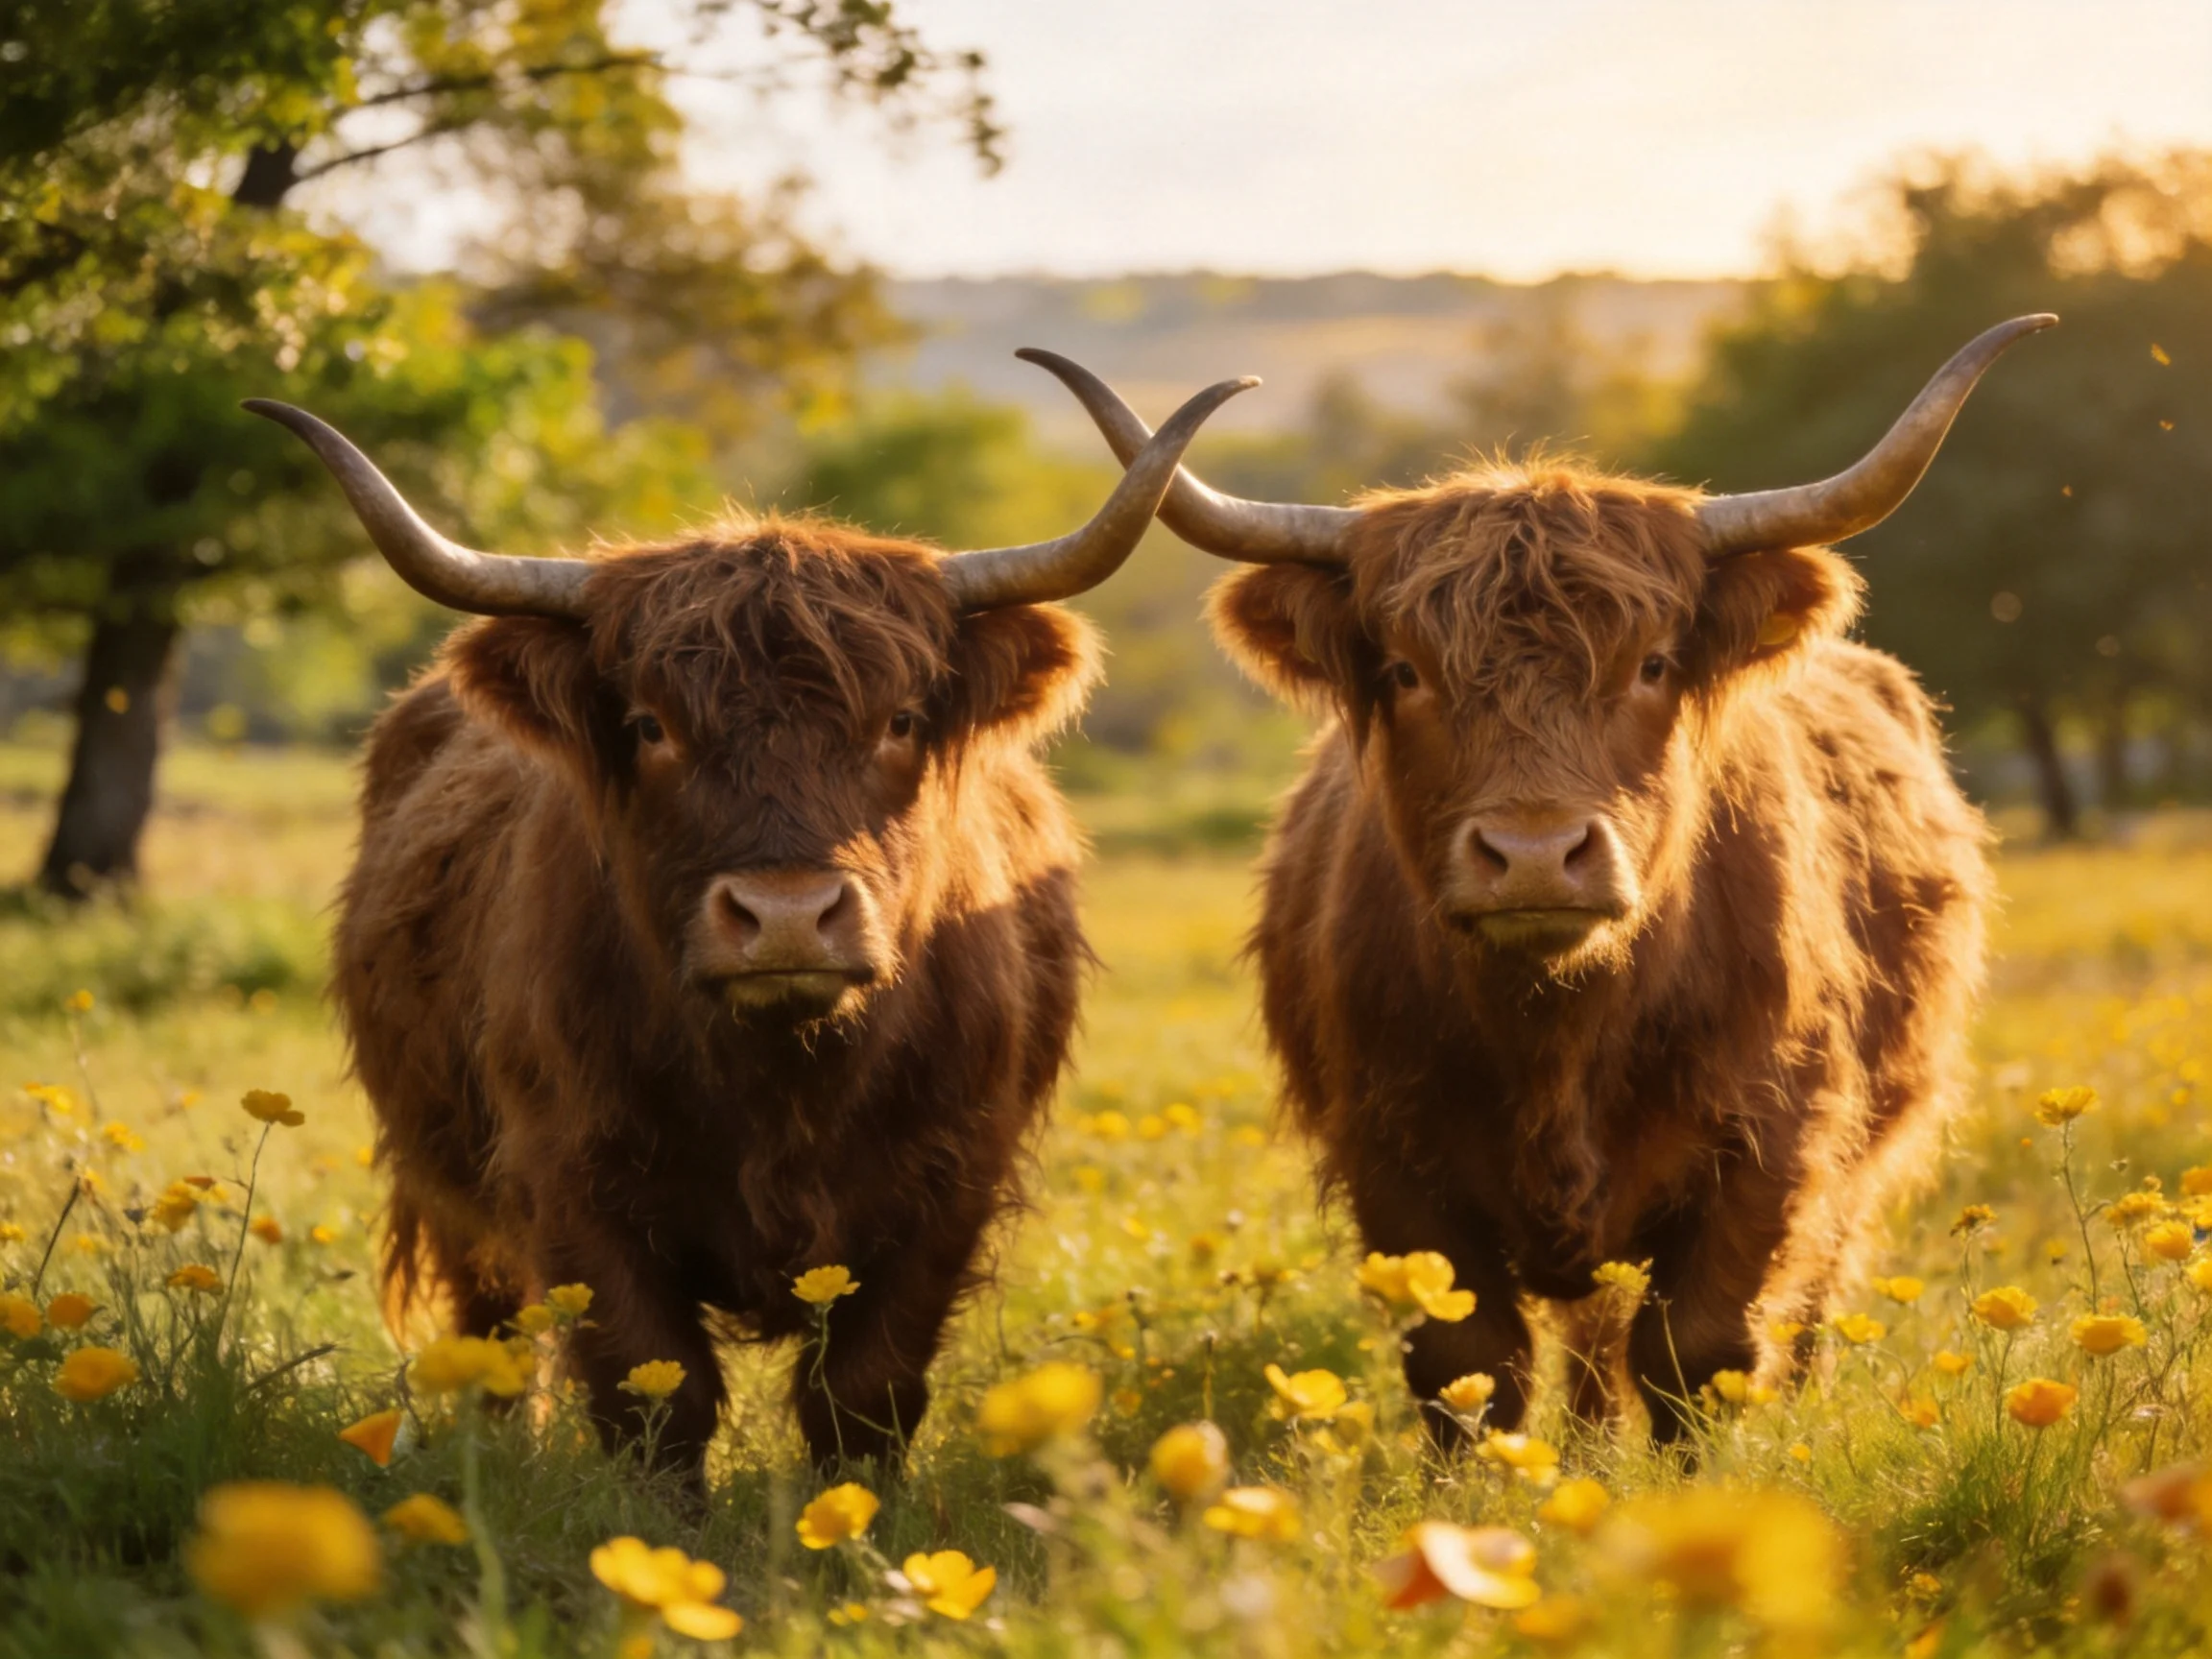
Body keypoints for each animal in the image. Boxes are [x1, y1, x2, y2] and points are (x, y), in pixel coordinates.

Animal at [247, 364, 1252, 1479]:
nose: (785, 916)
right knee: (491, 1336)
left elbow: (864, 1394)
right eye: (650, 725)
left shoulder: (948, 1186)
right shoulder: (571, 1178)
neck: (785, 1081)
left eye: (901, 720)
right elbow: (653, 1391)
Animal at [1028, 317, 2053, 1442]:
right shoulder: (1393, 1163)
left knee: (1802, 1306)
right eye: (1405, 671)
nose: (1533, 853)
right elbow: (1468, 1366)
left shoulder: (1772, 1148)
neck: (1559, 1027)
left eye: (1652, 664)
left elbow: (1701, 1354)